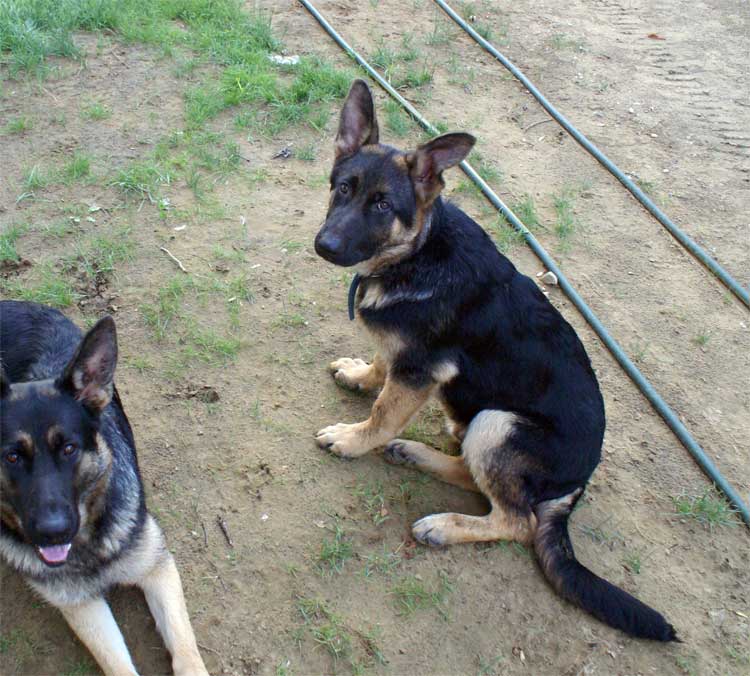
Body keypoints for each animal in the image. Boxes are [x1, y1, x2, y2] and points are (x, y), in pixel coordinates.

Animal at [0, 302, 209, 676]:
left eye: (69, 449)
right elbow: (118, 665)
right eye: (11, 456)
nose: (52, 532)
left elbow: (186, 651)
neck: (90, 545)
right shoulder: (81, 604)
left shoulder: (157, 568)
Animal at [314, 80, 680, 644]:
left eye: (382, 205)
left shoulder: (419, 371)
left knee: (516, 520)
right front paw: (361, 374)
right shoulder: (408, 359)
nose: (324, 245)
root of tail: (576, 484)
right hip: (480, 422)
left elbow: (382, 413)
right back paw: (417, 456)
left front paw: (353, 440)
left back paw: (443, 525)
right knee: (473, 474)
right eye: (343, 189)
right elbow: (381, 365)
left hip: (498, 422)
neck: (416, 254)